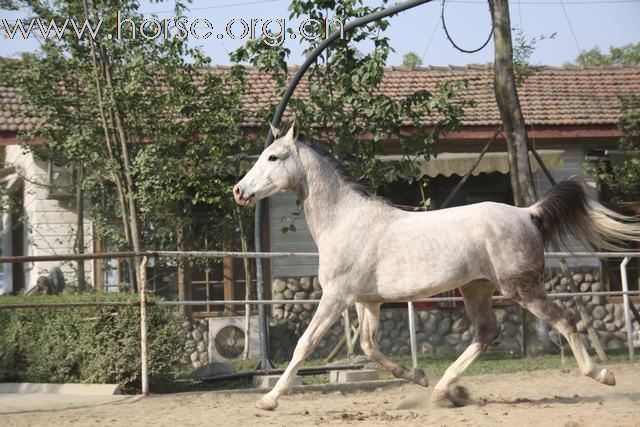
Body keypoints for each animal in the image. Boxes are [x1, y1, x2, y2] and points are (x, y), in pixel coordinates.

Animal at [235, 120, 640, 412]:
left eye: (273, 157)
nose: (239, 191)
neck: (345, 221)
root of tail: (528, 213)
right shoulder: (368, 301)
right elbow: (369, 346)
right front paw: (417, 376)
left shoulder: (337, 296)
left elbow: (305, 344)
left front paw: (268, 399)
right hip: (476, 288)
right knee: (486, 333)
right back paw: (444, 390)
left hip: (521, 288)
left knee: (566, 321)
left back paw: (603, 375)